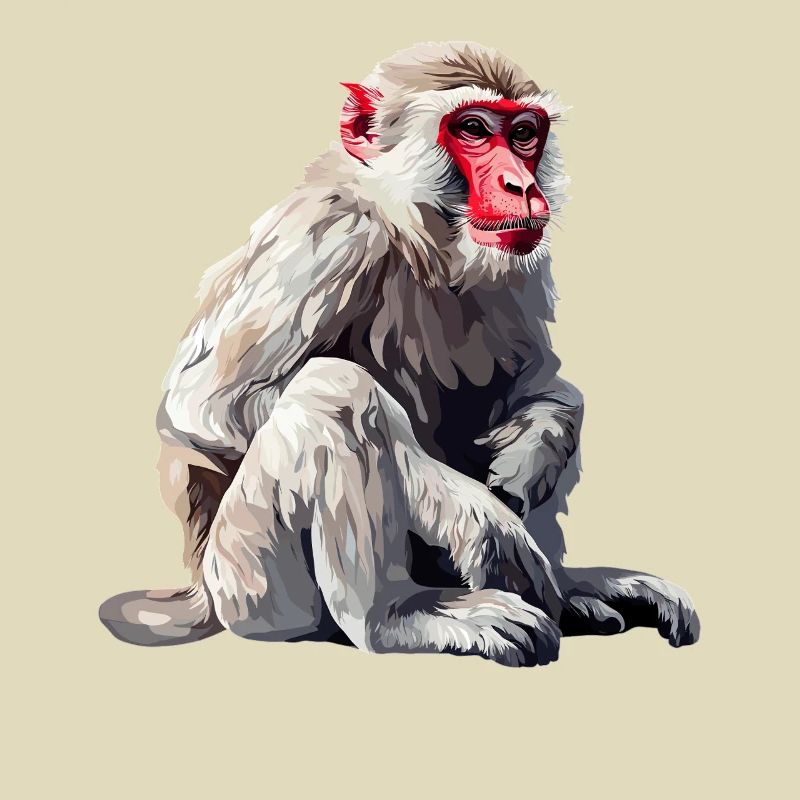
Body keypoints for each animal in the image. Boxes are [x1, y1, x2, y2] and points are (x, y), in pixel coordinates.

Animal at [99, 42, 699, 666]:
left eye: (524, 133)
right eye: (473, 129)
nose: (520, 185)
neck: (417, 231)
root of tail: (201, 594)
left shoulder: (520, 261)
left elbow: (542, 382)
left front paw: (533, 451)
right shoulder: (330, 235)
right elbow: (206, 410)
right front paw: (470, 511)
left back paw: (571, 590)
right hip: (250, 585)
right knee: (334, 392)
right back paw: (398, 617)